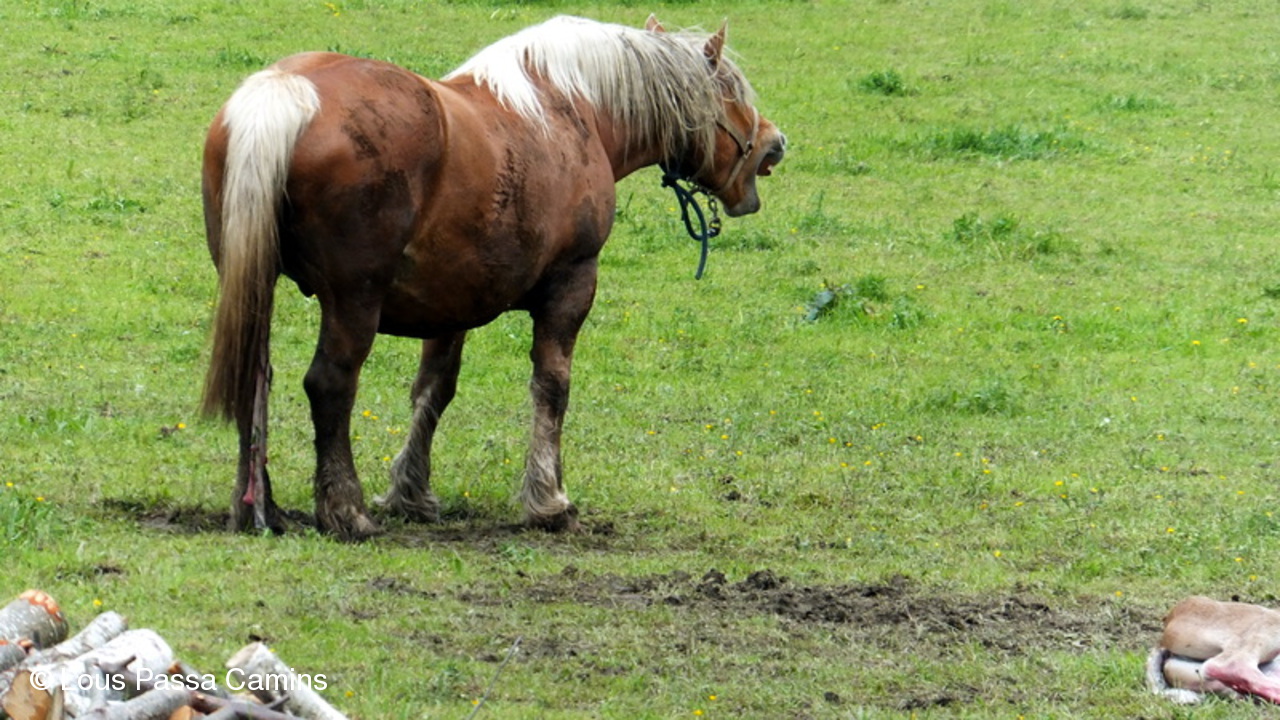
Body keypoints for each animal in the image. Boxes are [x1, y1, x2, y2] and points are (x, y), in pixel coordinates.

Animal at [200, 14, 786, 540]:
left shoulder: (450, 302)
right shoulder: (572, 284)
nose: (774, 143)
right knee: (329, 384)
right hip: (353, 300)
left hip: (255, 286)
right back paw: (345, 511)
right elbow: (552, 386)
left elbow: (434, 390)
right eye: (731, 91)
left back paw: (261, 508)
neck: (572, 111)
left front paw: (411, 492)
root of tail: (287, 90)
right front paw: (549, 501)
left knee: (255, 378)